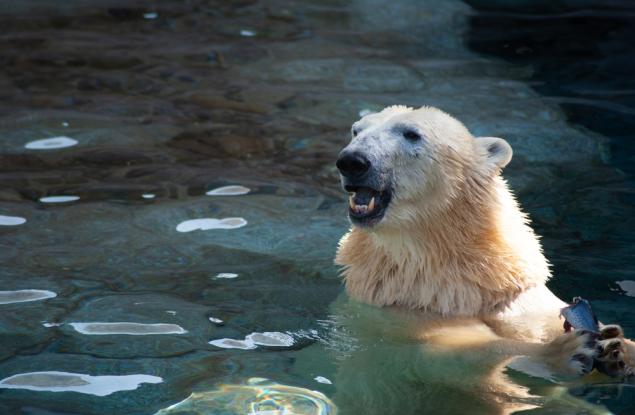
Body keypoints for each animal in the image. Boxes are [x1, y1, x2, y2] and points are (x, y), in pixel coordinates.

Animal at [330, 106, 632, 412]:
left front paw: (616, 344)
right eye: (357, 130)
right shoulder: (402, 307)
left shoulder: (511, 292)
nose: (352, 161)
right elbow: (455, 350)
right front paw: (566, 351)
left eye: (411, 134)